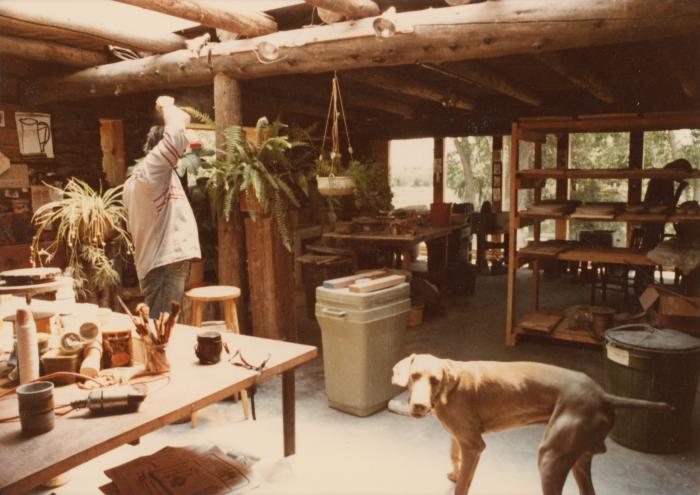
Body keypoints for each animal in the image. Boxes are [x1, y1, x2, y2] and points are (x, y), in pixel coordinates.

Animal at [392, 354, 668, 494]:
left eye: (435, 380)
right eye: (414, 376)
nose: (418, 407)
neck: (450, 388)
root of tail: (603, 395)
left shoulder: (474, 445)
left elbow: (462, 485)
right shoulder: (461, 438)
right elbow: (454, 456)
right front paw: (454, 472)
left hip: (550, 457)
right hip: (579, 458)